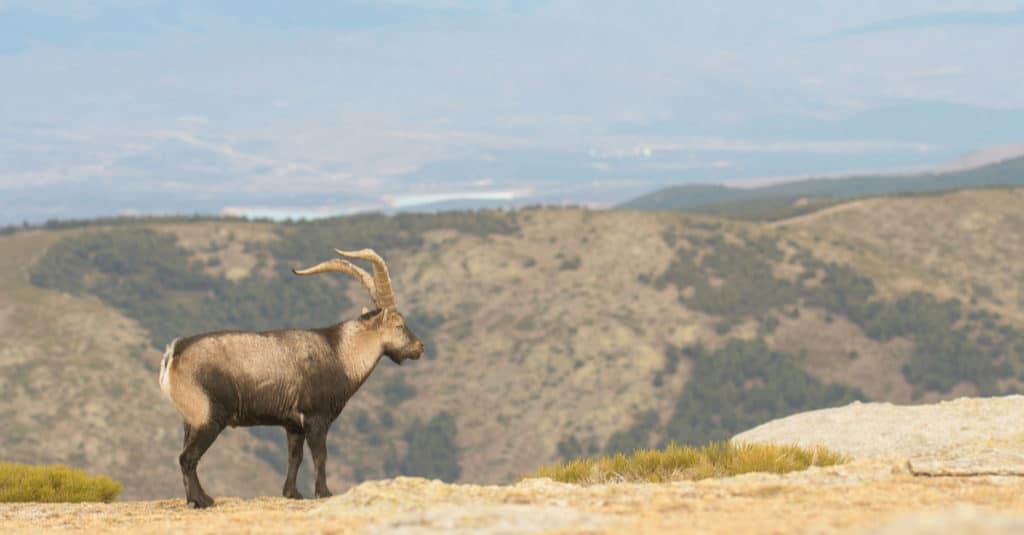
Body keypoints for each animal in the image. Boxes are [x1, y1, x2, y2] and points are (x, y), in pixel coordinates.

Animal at [158, 248, 424, 508]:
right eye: (399, 325)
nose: (419, 347)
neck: (340, 353)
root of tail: (175, 352)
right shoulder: (316, 418)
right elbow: (320, 455)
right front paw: (324, 492)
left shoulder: (293, 425)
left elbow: (295, 457)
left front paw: (292, 493)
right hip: (209, 418)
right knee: (187, 458)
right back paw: (202, 500)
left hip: (190, 419)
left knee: (186, 457)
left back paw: (194, 499)